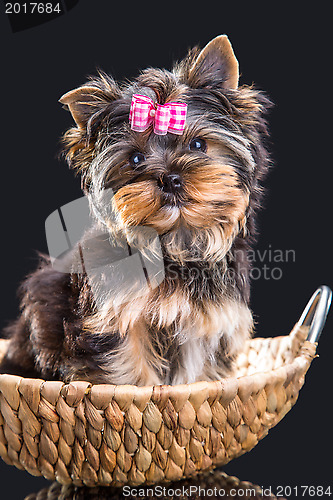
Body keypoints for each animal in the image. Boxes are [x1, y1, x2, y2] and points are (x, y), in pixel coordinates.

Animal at [0, 36, 270, 386]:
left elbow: (195, 374)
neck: (174, 243)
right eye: (135, 159)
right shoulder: (116, 318)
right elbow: (129, 370)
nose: (170, 178)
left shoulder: (206, 321)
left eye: (198, 145)